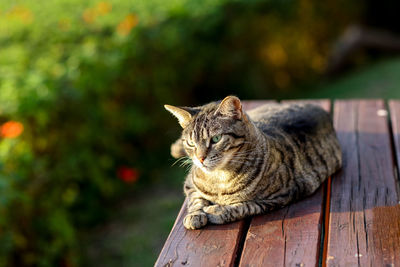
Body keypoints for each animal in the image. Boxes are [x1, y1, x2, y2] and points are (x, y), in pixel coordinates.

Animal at [164, 96, 342, 230]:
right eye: (191, 143)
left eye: (216, 139)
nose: (200, 159)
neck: (220, 177)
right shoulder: (190, 184)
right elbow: (196, 200)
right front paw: (195, 215)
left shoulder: (281, 196)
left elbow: (243, 206)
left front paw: (215, 211)